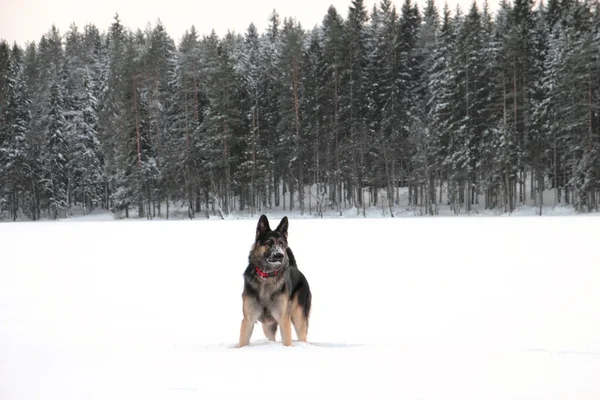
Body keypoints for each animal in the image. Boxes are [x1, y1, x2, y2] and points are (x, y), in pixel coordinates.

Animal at [239, 214, 314, 348]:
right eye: (269, 243)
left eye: (282, 244)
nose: (280, 255)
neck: (266, 276)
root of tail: (295, 267)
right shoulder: (248, 320)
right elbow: (242, 342)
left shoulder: (284, 320)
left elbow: (287, 342)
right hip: (267, 326)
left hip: (299, 318)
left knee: (303, 336)